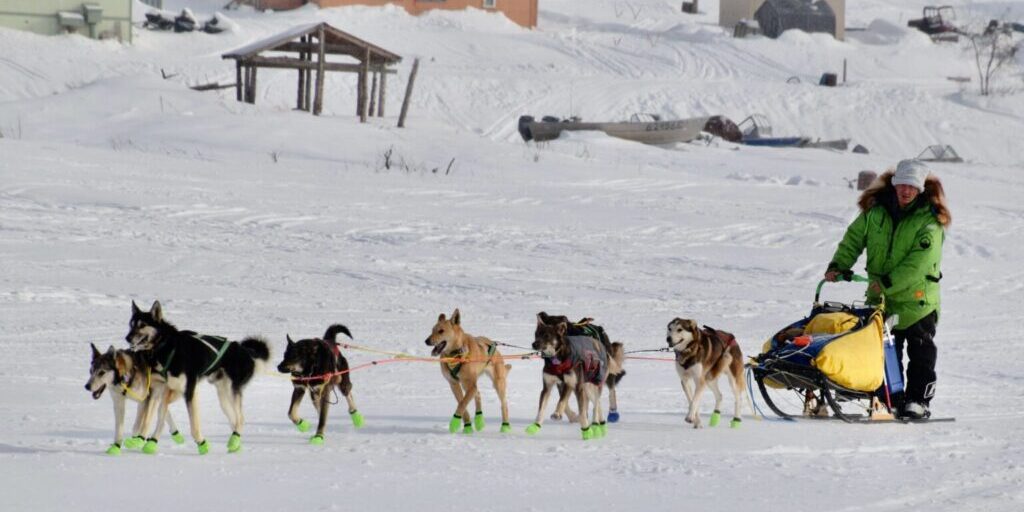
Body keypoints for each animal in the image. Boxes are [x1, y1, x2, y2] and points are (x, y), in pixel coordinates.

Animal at [123, 299, 272, 454]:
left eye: (142, 325)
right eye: (131, 324)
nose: (127, 337)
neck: (166, 348)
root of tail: (247, 353)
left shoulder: (189, 391)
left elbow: (193, 423)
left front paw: (202, 444)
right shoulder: (158, 390)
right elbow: (151, 419)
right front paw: (144, 440)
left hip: (230, 392)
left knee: (240, 418)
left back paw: (234, 440)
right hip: (222, 398)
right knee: (234, 419)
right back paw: (236, 445)